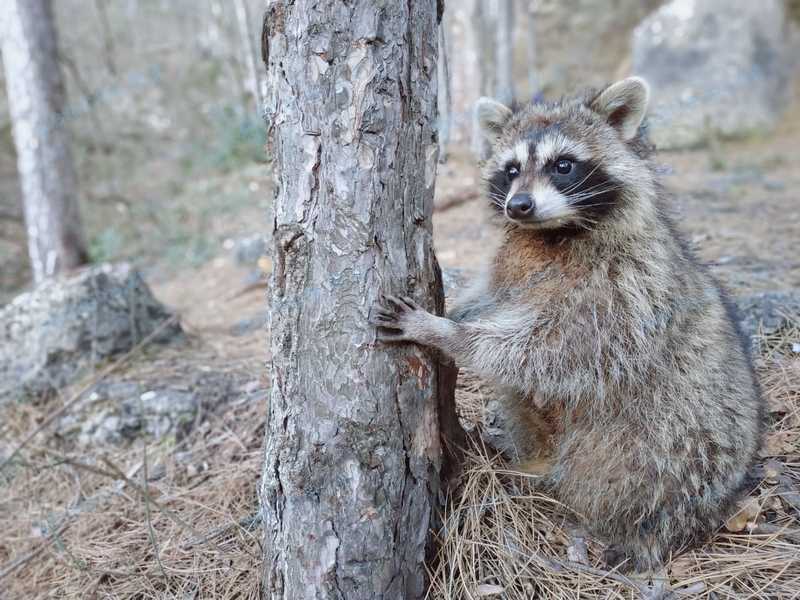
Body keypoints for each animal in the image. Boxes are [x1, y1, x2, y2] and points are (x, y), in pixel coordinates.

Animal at [372, 78, 764, 572]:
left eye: (563, 165)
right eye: (511, 169)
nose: (519, 206)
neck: (549, 233)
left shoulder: (626, 288)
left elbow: (550, 351)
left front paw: (445, 333)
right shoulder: (517, 266)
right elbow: (498, 300)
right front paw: (460, 312)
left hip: (668, 451)